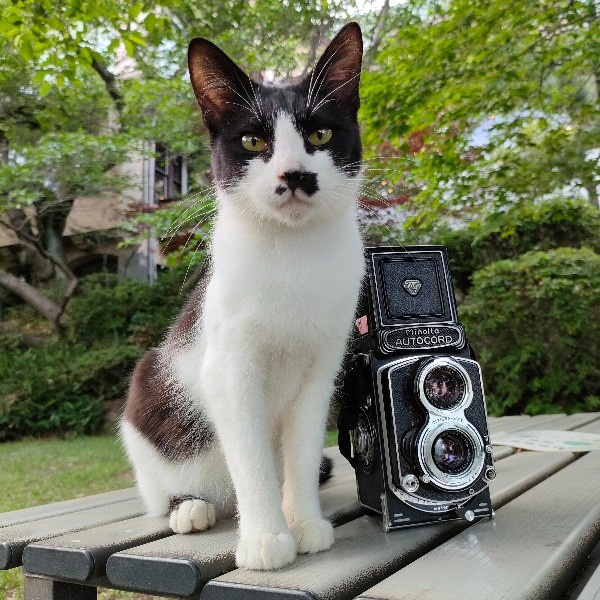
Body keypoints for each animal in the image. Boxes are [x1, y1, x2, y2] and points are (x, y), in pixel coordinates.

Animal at [119, 21, 364, 568]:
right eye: (254, 140)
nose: (295, 174)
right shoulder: (229, 368)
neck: (294, 255)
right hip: (148, 392)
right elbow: (250, 458)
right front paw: (266, 538)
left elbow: (301, 448)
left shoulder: (321, 369)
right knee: (167, 484)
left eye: (319, 134)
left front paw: (304, 521)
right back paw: (190, 507)